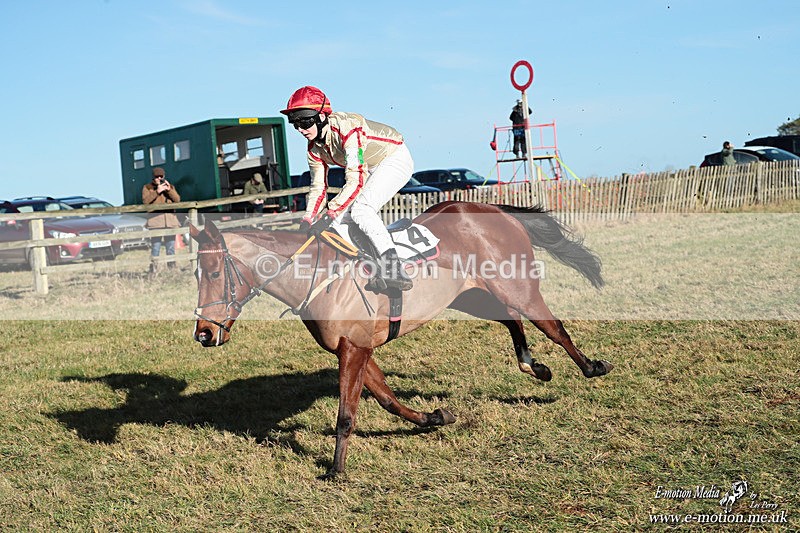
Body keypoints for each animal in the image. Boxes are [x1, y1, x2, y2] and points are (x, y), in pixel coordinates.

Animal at [190, 201, 612, 478]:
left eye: (213, 271)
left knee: (553, 327)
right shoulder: (356, 348)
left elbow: (346, 414)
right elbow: (387, 399)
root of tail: (490, 207)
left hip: (518, 287)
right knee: (512, 321)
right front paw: (433, 417)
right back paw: (532, 365)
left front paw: (336, 470)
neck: (317, 273)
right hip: (471, 295)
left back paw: (591, 366)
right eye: (197, 273)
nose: (203, 333)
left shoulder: (354, 348)